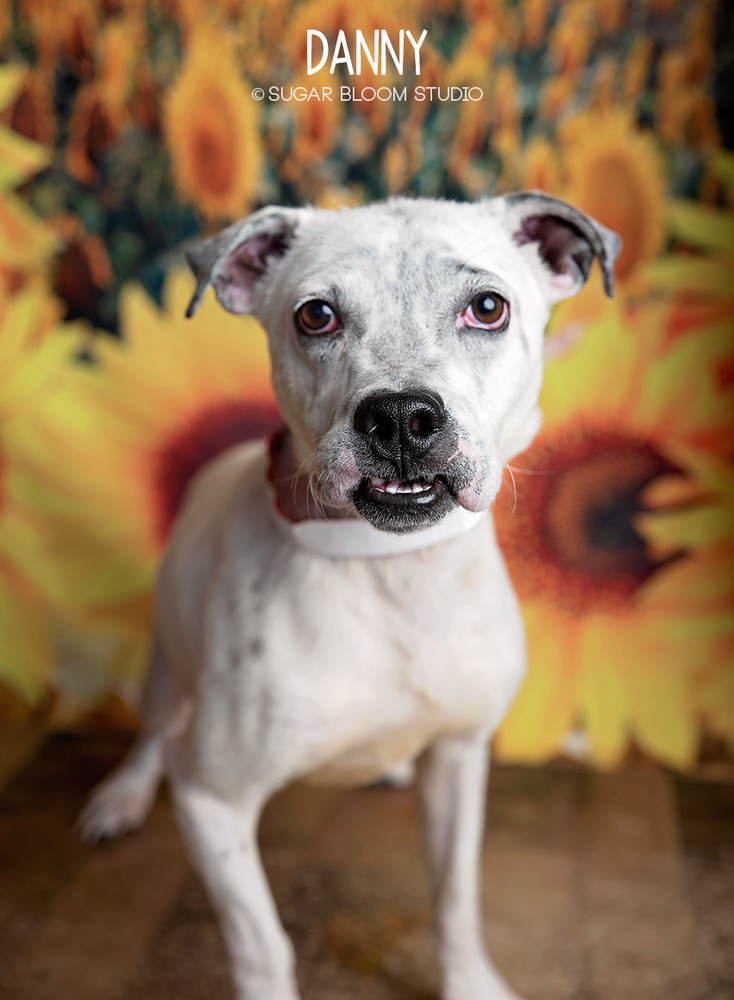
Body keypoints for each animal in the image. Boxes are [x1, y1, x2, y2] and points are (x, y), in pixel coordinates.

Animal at [80, 195, 620, 1000]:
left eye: (488, 307)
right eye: (316, 316)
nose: (399, 417)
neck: (390, 571)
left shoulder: (459, 760)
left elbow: (455, 899)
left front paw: (471, 981)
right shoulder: (213, 803)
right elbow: (263, 946)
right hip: (167, 669)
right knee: (152, 734)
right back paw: (121, 796)